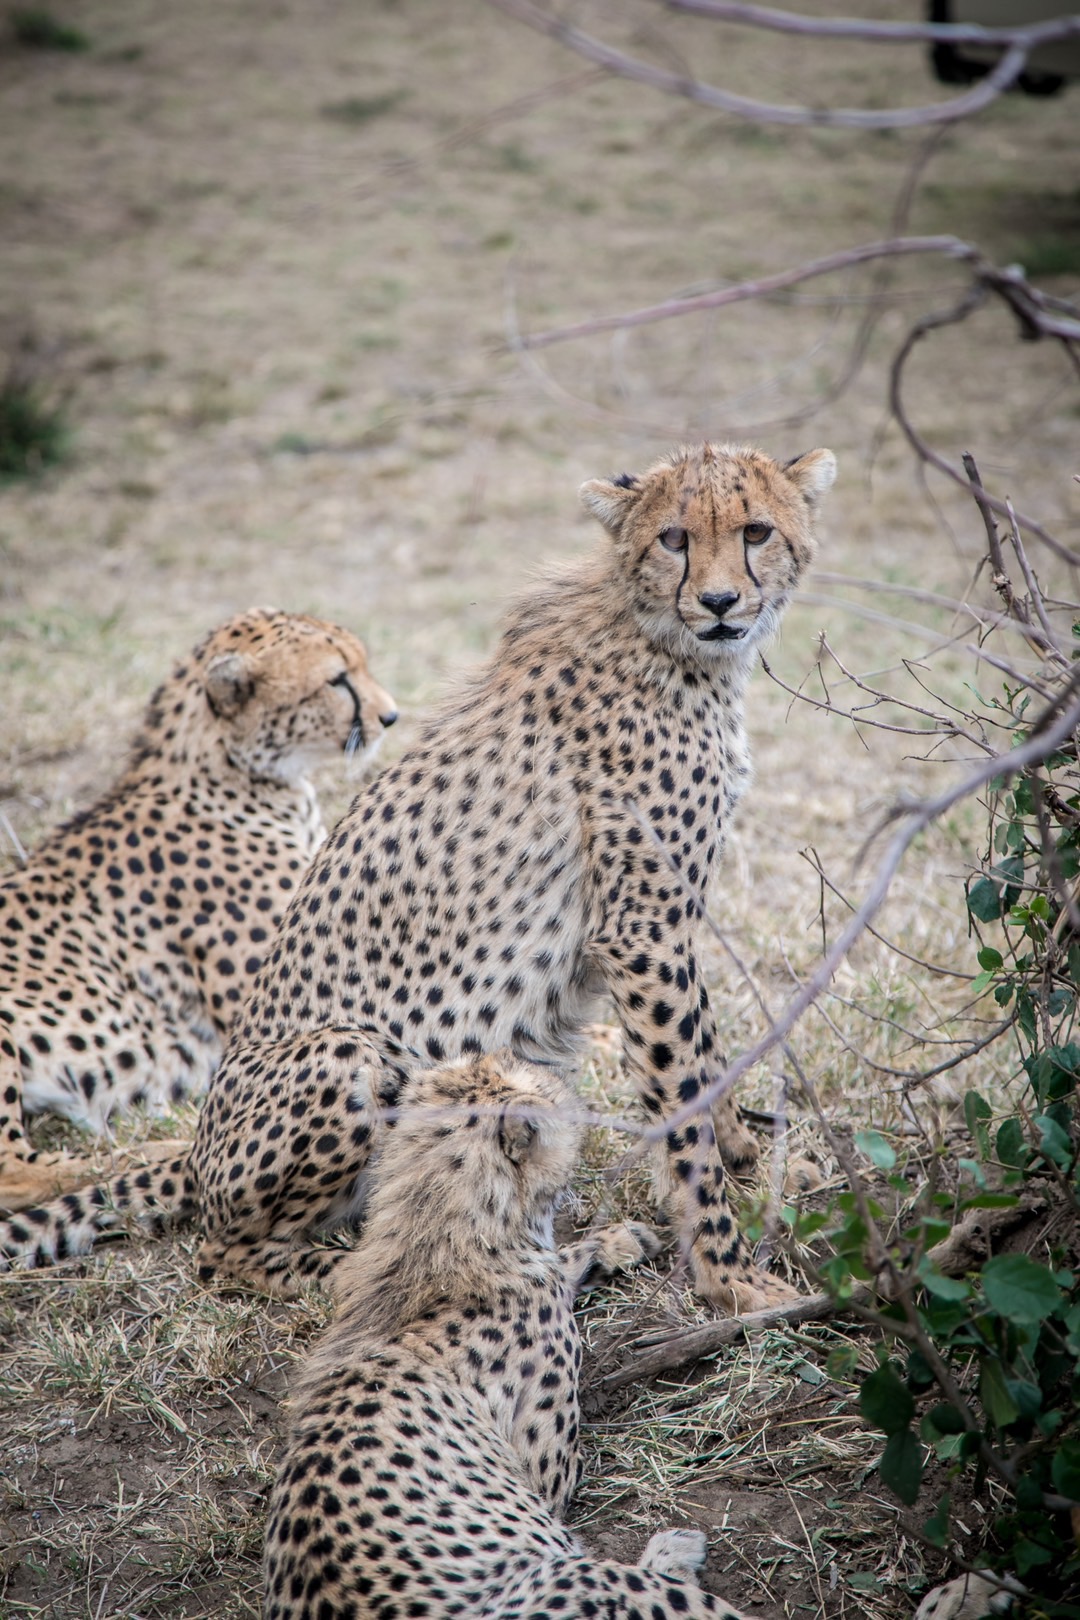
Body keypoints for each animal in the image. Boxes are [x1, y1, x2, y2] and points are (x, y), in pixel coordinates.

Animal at [263, 1050, 749, 1620]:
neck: (441, 1246)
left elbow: (562, 1259)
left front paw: (617, 1241)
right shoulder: (549, 1474)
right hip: (571, 1580)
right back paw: (674, 1551)